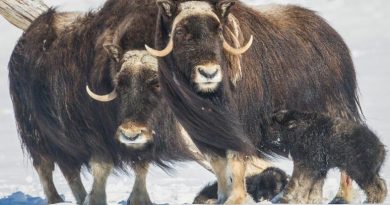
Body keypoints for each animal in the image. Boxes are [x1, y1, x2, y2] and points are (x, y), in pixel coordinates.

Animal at [7, 0, 209, 204]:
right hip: (34, 132)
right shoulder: (96, 133)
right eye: (119, 83)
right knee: (45, 166)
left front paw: (139, 198)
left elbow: (141, 166)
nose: (130, 133)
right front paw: (97, 198)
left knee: (69, 170)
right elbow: (102, 166)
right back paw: (56, 199)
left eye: (156, 82)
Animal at [145, 0, 362, 203]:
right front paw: (221, 197)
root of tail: (333, 36)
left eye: (218, 31)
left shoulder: (243, 128)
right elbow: (219, 166)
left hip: (334, 111)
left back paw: (340, 196)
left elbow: (237, 163)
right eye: (180, 31)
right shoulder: (206, 135)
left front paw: (236, 198)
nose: (209, 73)